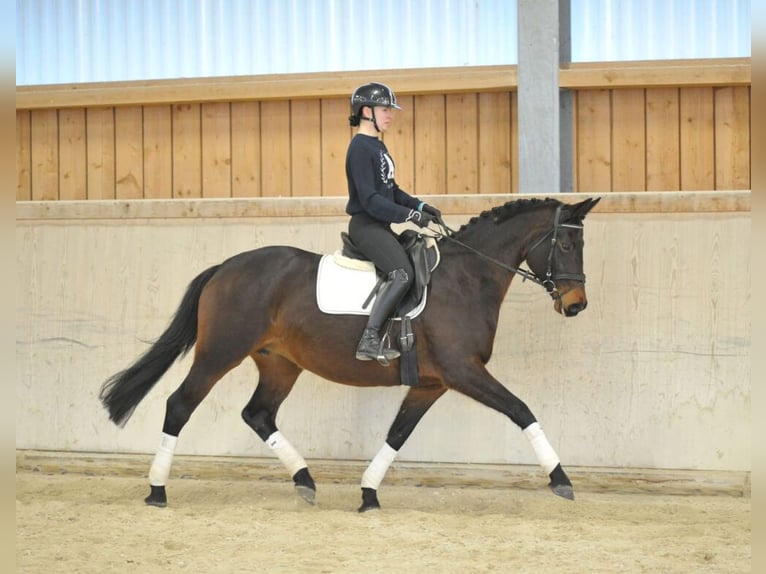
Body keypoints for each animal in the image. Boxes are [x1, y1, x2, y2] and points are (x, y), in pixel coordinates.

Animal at [99, 197, 600, 512]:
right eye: (566, 243)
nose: (576, 305)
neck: (466, 278)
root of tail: (226, 267)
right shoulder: (464, 372)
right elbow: (522, 410)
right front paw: (561, 479)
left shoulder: (431, 384)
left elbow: (397, 435)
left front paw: (368, 494)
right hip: (220, 352)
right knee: (180, 404)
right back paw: (157, 490)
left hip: (279, 362)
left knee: (258, 414)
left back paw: (305, 481)